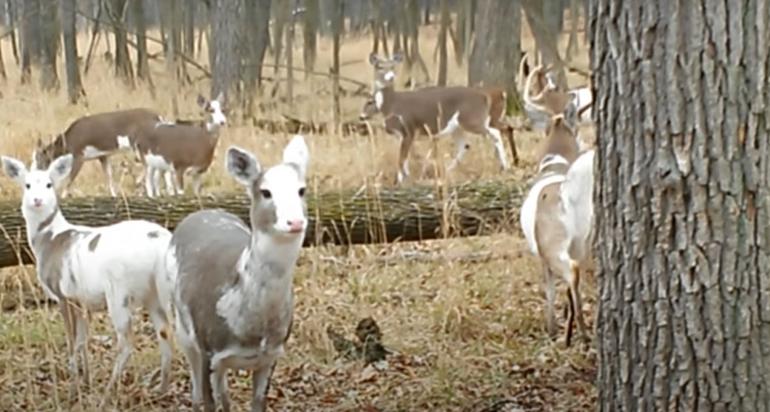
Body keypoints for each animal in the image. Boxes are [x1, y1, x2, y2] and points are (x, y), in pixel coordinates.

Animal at [1, 154, 174, 402]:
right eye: (27, 185)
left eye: (49, 184)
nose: (37, 200)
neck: (49, 239)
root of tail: (162, 241)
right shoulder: (82, 300)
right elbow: (83, 341)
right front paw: (86, 382)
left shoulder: (62, 294)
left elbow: (72, 341)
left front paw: (73, 391)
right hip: (154, 292)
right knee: (165, 332)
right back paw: (161, 390)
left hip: (119, 291)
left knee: (127, 342)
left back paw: (108, 394)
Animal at [32, 108, 162, 198]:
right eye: (35, 157)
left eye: (41, 157)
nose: (37, 170)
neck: (69, 141)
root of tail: (158, 117)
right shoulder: (102, 156)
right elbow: (108, 175)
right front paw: (113, 195)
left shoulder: (79, 154)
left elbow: (70, 178)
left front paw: (62, 196)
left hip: (139, 145)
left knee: (148, 165)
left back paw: (140, 183)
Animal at [166, 136, 308, 412]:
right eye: (265, 192)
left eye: (301, 190)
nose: (295, 222)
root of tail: (201, 212)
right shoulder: (207, 347)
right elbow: (209, 402)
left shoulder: (271, 356)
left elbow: (257, 404)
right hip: (181, 325)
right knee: (197, 384)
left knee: (224, 390)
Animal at [360, 53, 510, 182]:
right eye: (379, 66)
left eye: (392, 66)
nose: (391, 77)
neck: (391, 104)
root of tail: (484, 96)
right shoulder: (402, 135)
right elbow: (404, 157)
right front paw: (404, 176)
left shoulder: (409, 130)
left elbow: (401, 158)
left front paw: (401, 180)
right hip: (458, 127)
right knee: (464, 145)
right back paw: (448, 170)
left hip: (471, 118)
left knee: (496, 132)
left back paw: (505, 166)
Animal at [516, 113, 588, 348]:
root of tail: (566, 192)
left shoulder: (541, 255)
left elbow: (550, 289)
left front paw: (552, 329)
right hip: (583, 243)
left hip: (552, 248)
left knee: (572, 271)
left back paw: (582, 334)